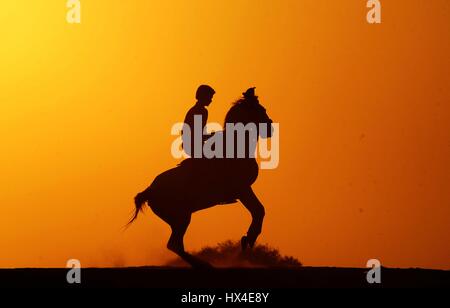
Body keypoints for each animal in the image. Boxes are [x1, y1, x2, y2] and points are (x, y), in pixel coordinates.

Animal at [128, 91, 272, 268]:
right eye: (261, 110)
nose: (271, 128)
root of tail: (149, 190)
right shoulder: (242, 189)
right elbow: (259, 210)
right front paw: (249, 238)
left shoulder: (244, 190)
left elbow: (259, 210)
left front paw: (248, 239)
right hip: (181, 217)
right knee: (174, 244)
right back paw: (204, 264)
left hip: (178, 219)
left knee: (175, 245)